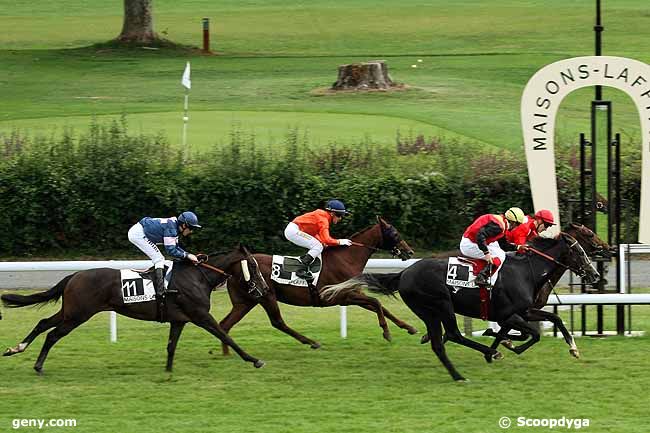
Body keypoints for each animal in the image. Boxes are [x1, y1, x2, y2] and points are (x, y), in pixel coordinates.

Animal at [1, 245, 268, 372]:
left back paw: (16, 348)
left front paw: (168, 371)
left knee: (43, 323)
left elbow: (171, 346)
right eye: (254, 266)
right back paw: (38, 366)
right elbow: (225, 335)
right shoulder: (201, 316)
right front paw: (254, 359)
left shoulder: (179, 319)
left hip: (71, 311)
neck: (198, 277)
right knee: (53, 334)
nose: (263, 289)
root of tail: (74, 276)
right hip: (78, 314)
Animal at [218, 216, 416, 354]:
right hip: (266, 296)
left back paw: (227, 353)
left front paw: (409, 327)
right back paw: (312, 342)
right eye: (395, 233)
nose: (409, 252)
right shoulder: (343, 295)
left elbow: (381, 307)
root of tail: (236, 265)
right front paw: (387, 332)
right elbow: (377, 302)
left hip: (246, 301)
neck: (347, 259)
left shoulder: (350, 297)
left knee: (225, 325)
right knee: (278, 322)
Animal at [322, 228, 600, 380]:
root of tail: (404, 273)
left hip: (430, 311)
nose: (595, 274)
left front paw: (574, 348)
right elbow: (530, 334)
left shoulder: (524, 311)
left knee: (443, 339)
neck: (525, 271)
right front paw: (502, 348)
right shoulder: (510, 314)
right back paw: (483, 354)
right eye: (580, 250)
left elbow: (554, 319)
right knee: (453, 334)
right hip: (440, 304)